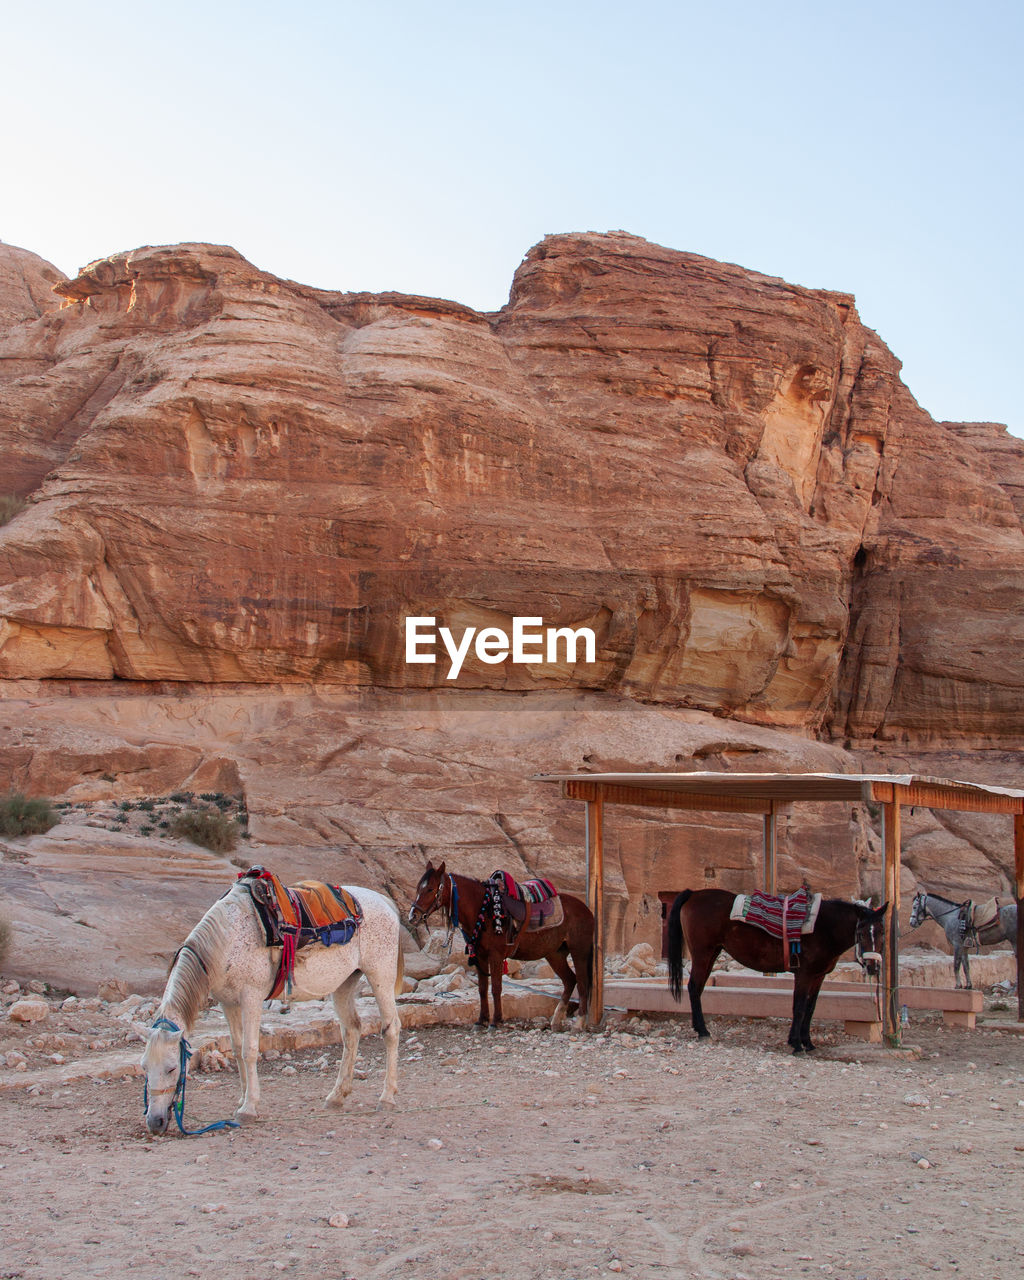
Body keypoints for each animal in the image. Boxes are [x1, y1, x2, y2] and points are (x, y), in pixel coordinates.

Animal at [135, 875, 404, 1136]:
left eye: (172, 1069)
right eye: (144, 1067)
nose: (155, 1122)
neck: (227, 940)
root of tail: (384, 902)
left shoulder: (251, 997)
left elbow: (250, 1050)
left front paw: (249, 1108)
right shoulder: (228, 1002)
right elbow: (237, 1049)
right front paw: (243, 1100)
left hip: (380, 975)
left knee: (391, 1028)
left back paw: (387, 1098)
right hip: (344, 983)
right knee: (352, 1031)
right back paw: (337, 1096)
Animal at [407, 860, 596, 1029]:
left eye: (430, 889)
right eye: (418, 888)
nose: (413, 916)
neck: (483, 910)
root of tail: (587, 910)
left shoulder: (496, 955)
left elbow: (496, 988)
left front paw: (495, 1021)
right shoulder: (480, 956)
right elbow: (482, 988)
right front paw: (481, 1021)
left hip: (579, 951)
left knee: (582, 982)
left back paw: (579, 1023)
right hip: (555, 954)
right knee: (570, 980)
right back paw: (556, 1021)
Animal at [665, 885, 885, 1054]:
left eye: (882, 932)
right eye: (861, 932)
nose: (873, 967)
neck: (823, 927)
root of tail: (694, 894)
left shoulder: (818, 976)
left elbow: (810, 1007)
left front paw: (808, 1043)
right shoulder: (804, 974)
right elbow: (799, 1006)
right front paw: (796, 1045)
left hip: (712, 954)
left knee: (698, 988)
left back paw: (700, 1029)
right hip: (702, 954)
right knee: (694, 987)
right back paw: (703, 1032)